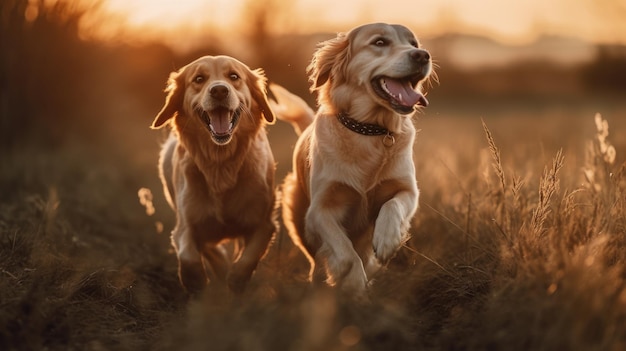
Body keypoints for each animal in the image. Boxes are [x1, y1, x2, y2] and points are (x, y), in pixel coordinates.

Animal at [149, 56, 276, 296]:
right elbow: (189, 256)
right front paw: (196, 283)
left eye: (234, 76)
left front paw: (236, 281)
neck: (220, 163)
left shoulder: (264, 225)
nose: (219, 91)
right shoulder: (185, 225)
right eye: (199, 79)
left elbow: (247, 258)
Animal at [270, 22, 432, 296]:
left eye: (414, 44)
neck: (369, 130)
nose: (422, 56)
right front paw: (354, 286)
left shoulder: (408, 191)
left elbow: (393, 205)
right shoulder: (319, 211)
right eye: (379, 42)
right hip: (299, 218)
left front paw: (387, 240)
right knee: (316, 258)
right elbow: (345, 254)